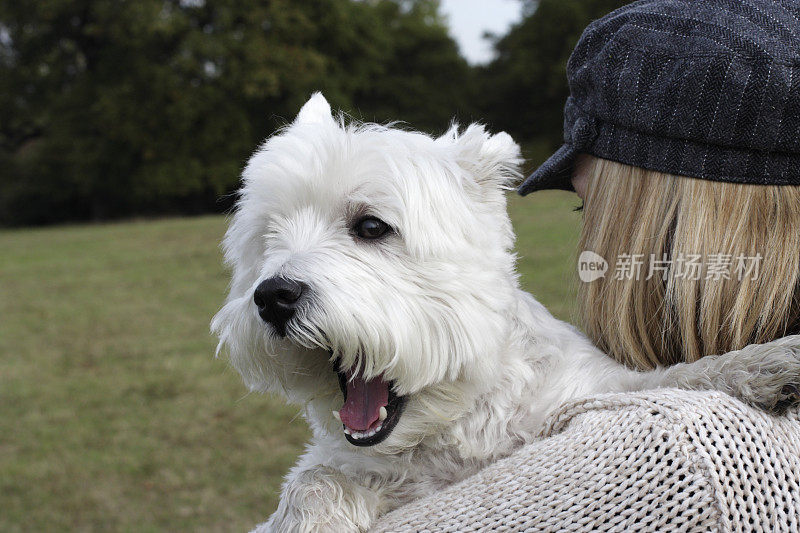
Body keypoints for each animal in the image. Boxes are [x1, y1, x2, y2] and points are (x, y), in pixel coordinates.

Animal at [212, 93, 800, 528]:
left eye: (371, 226)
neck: (450, 431)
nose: (273, 297)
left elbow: (672, 377)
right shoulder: (361, 469)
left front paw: (766, 363)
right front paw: (310, 517)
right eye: (267, 238)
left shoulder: (591, 391)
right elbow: (314, 478)